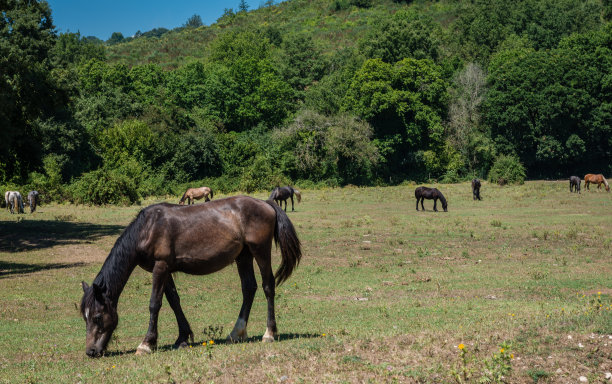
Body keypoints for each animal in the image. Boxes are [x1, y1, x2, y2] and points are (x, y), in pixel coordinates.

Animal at [81, 196, 302, 358]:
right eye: (85, 317)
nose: (91, 351)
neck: (148, 229)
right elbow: (173, 301)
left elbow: (154, 304)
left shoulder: (160, 267)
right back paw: (236, 333)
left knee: (268, 286)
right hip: (244, 256)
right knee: (249, 288)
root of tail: (266, 203)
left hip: (260, 251)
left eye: (97, 317)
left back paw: (269, 333)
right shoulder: (164, 269)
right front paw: (182, 338)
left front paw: (146, 344)